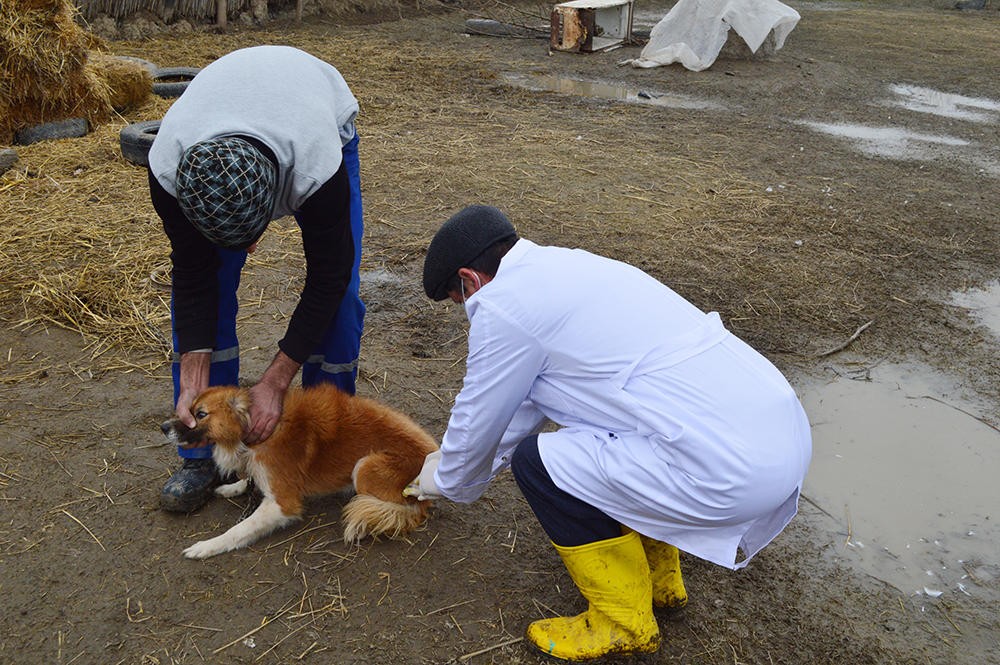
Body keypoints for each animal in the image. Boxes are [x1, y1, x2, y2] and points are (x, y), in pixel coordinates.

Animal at [161, 382, 438, 556]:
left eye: (201, 414)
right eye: (190, 409)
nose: (163, 427)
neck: (252, 434)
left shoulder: (283, 504)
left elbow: (238, 530)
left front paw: (206, 546)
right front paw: (233, 487)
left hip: (364, 467)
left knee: (406, 508)